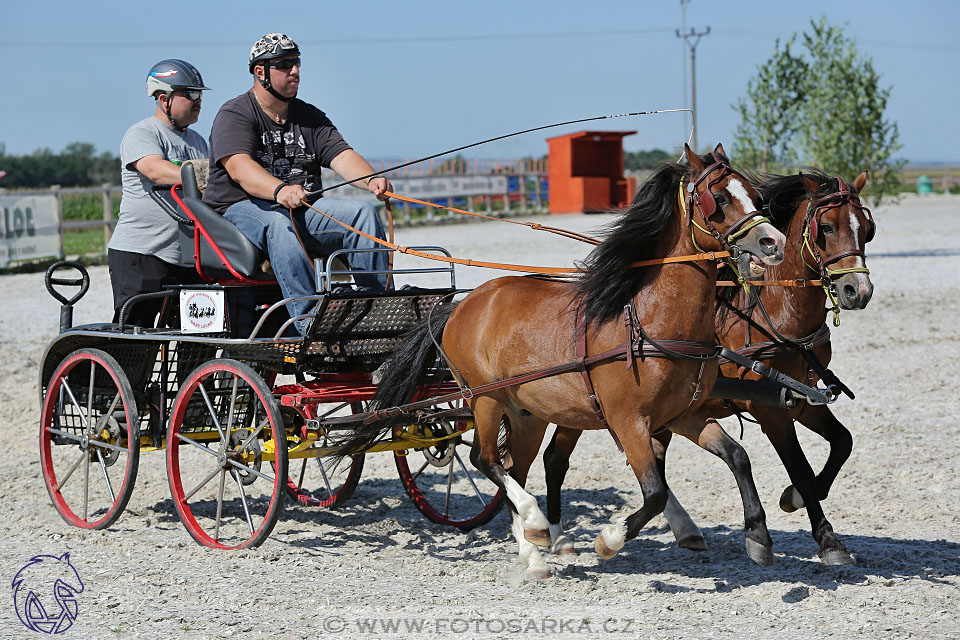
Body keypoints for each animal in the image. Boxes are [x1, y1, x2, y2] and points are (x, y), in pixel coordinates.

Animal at [338, 146, 788, 580]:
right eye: (719, 197)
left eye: (754, 193)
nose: (774, 242)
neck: (650, 322)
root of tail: (462, 304)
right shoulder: (629, 421)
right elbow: (655, 492)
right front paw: (609, 540)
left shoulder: (683, 415)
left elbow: (737, 457)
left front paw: (758, 537)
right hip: (484, 398)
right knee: (485, 459)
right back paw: (536, 524)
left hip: (526, 414)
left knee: (514, 468)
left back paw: (533, 553)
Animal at [544, 169, 872, 564]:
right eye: (825, 227)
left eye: (867, 228)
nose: (858, 290)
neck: (777, 312)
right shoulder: (768, 408)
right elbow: (802, 469)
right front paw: (826, 539)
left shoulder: (800, 398)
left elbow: (843, 442)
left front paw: (793, 500)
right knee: (555, 459)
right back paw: (558, 536)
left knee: (649, 459)